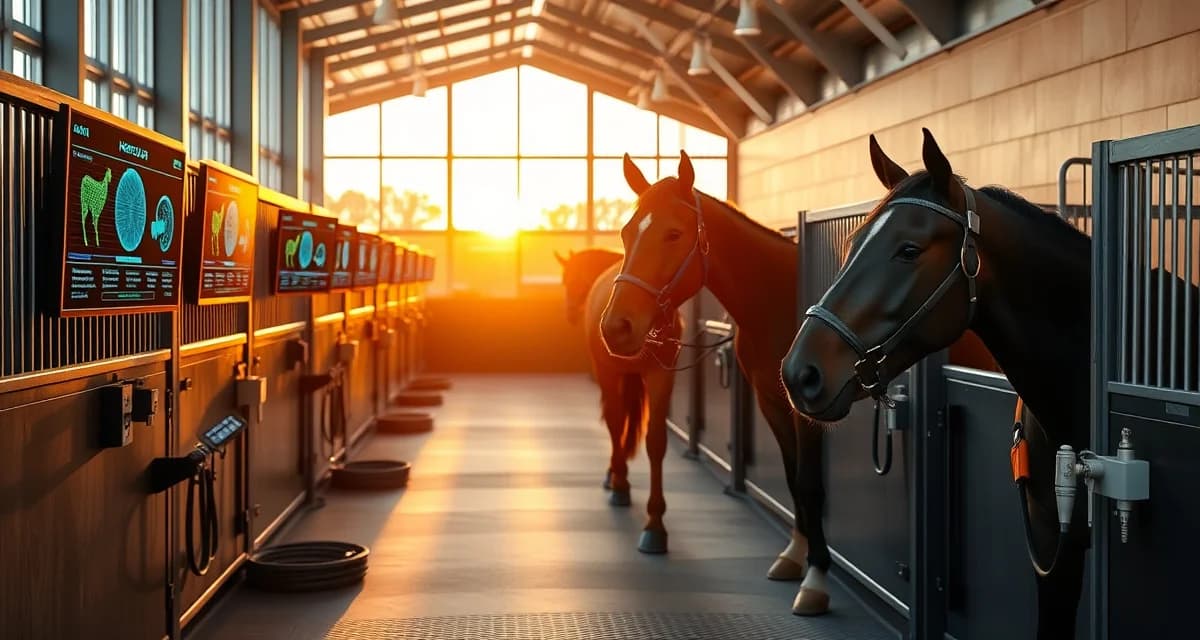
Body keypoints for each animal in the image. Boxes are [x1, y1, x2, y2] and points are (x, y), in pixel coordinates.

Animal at [556, 247, 683, 554]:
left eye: (570, 278)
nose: (569, 313)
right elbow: (622, 421)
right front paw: (617, 476)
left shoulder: (645, 374)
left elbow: (639, 432)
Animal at [599, 152, 833, 616]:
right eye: (627, 231)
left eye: (674, 233)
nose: (616, 327)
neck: (778, 298)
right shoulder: (771, 402)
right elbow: (793, 477)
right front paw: (794, 554)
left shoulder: (808, 410)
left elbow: (811, 483)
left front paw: (816, 578)